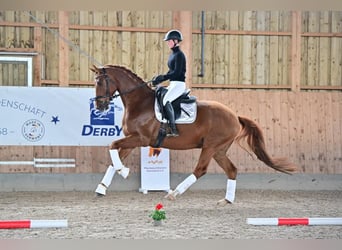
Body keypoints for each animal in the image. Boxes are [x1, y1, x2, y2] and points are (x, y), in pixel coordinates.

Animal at [91, 65, 296, 205]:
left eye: (100, 82)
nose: (100, 106)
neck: (139, 103)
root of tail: (235, 116)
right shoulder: (132, 140)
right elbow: (114, 158)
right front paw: (102, 187)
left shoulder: (140, 139)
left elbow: (112, 146)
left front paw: (124, 172)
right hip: (219, 150)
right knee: (231, 170)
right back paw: (227, 200)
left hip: (210, 147)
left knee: (200, 170)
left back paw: (174, 193)